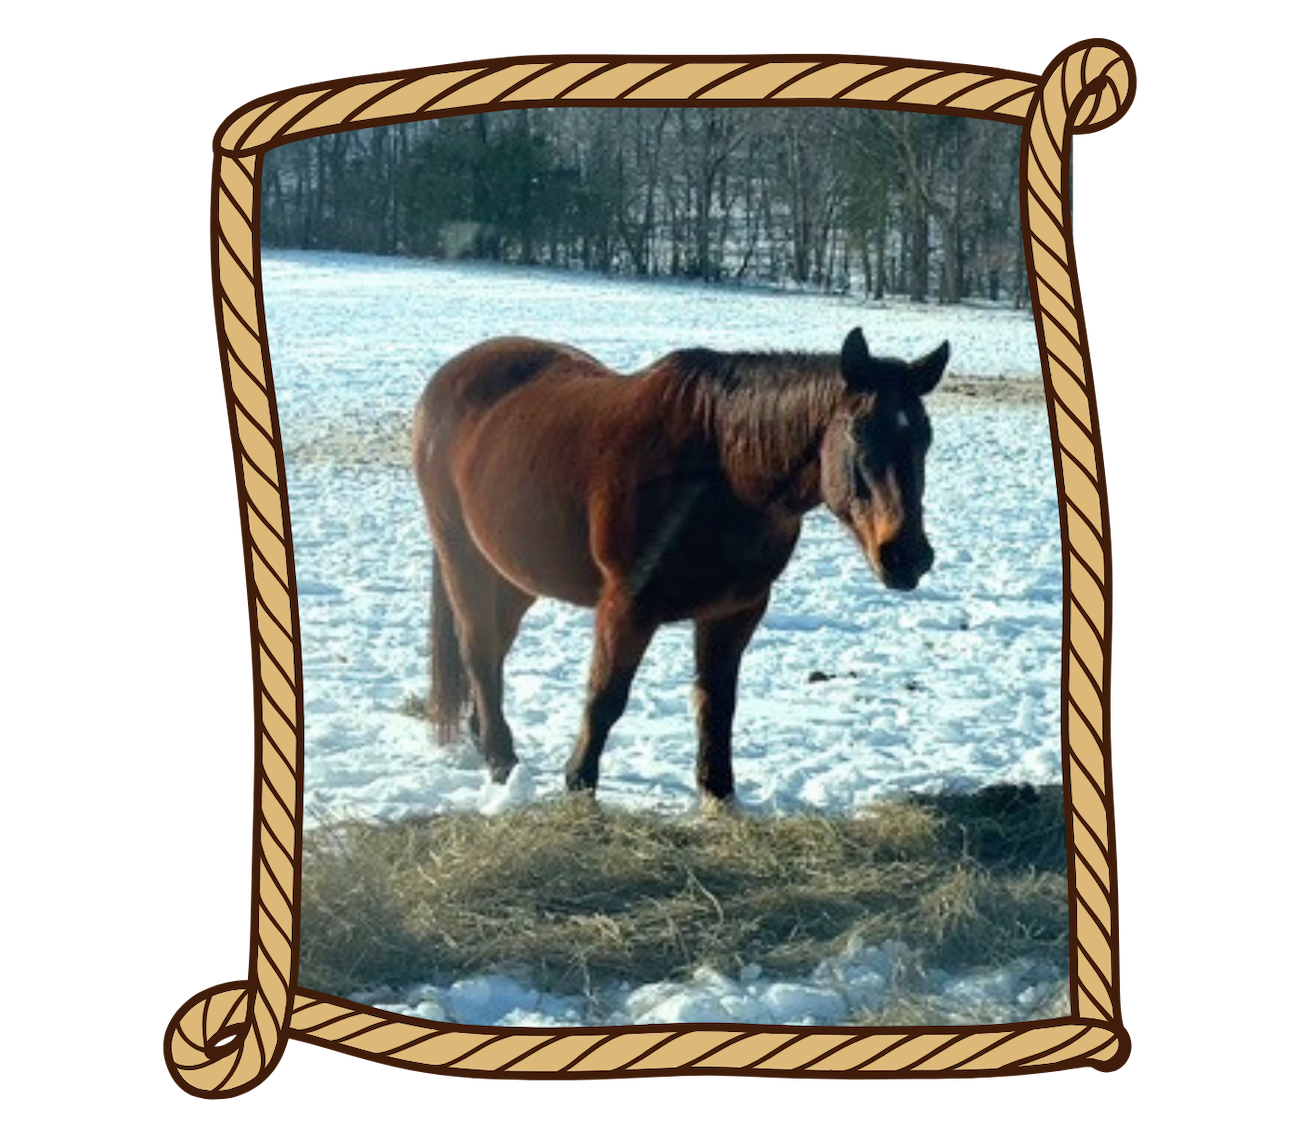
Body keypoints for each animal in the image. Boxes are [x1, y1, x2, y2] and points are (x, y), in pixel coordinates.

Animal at [412, 327, 950, 809]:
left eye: (925, 437)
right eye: (858, 430)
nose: (907, 555)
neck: (722, 472)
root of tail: (447, 378)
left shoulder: (736, 611)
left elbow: (717, 702)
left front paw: (718, 792)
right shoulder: (626, 606)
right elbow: (606, 698)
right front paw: (579, 784)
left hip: (513, 575)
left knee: (493, 651)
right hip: (464, 557)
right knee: (480, 650)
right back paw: (501, 761)